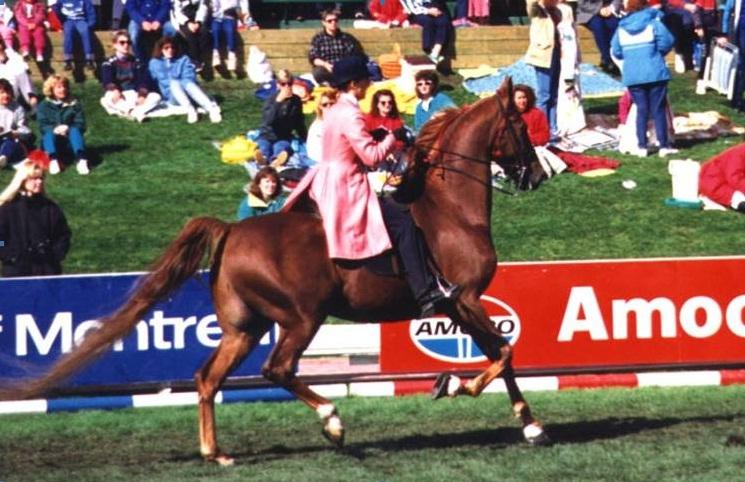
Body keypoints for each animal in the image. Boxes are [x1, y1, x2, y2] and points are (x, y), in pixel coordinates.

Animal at [0, 78, 548, 464]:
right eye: (522, 126)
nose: (538, 175)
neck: (449, 210)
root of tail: (232, 231)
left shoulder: (459, 307)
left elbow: (502, 356)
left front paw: (529, 424)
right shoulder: (464, 298)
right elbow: (504, 353)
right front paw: (456, 386)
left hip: (245, 326)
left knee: (208, 378)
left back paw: (216, 452)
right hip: (301, 319)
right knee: (277, 369)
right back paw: (332, 421)